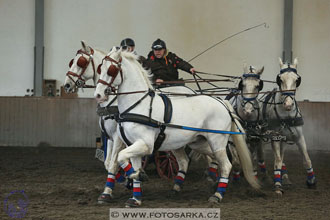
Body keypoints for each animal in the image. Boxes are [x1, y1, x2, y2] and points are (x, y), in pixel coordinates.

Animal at [93, 47, 260, 207]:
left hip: (217, 141)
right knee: (202, 160)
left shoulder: (145, 145)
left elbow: (119, 158)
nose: (98, 95)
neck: (139, 104)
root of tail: (220, 102)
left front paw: (136, 176)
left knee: (225, 165)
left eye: (111, 70)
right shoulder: (132, 144)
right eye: (101, 68)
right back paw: (187, 186)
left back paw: (217, 194)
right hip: (197, 142)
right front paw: (135, 197)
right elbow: (123, 161)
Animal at [262, 57, 318, 195]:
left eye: (297, 79)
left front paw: (311, 181)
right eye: (280, 79)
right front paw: (278, 186)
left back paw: (285, 177)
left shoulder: (299, 137)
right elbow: (277, 161)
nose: (288, 104)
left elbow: (307, 159)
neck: (287, 116)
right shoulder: (275, 138)